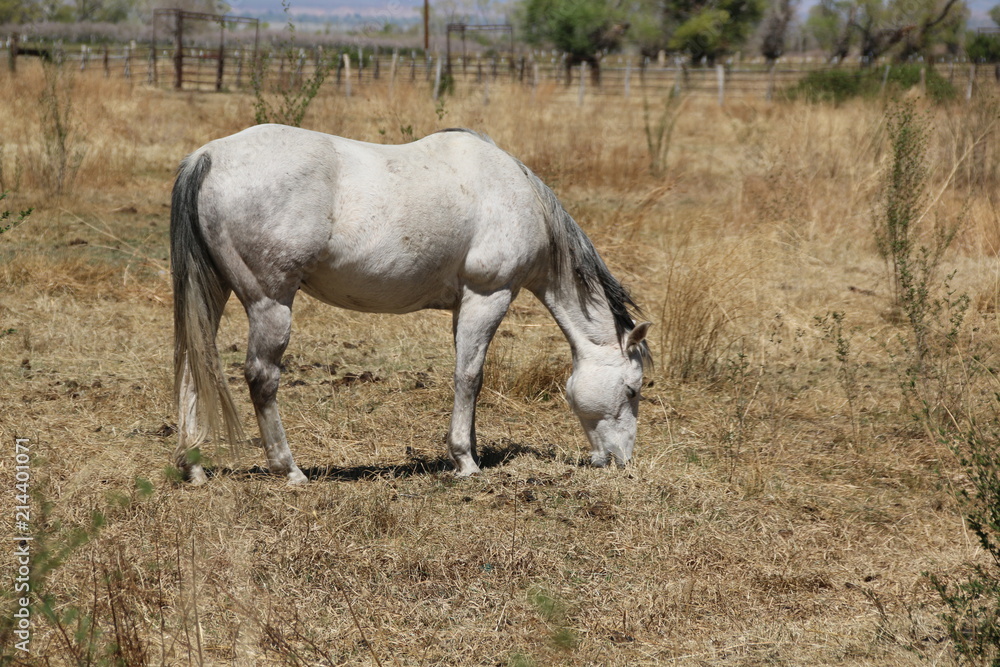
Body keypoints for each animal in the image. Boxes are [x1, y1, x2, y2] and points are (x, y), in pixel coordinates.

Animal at [173, 124, 652, 486]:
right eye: (633, 389)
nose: (620, 461)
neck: (517, 194)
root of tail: (208, 156)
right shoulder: (489, 296)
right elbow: (468, 377)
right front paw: (466, 462)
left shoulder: (464, 306)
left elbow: (470, 377)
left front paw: (469, 450)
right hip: (270, 302)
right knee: (262, 377)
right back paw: (289, 469)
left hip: (214, 293)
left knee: (196, 364)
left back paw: (193, 467)